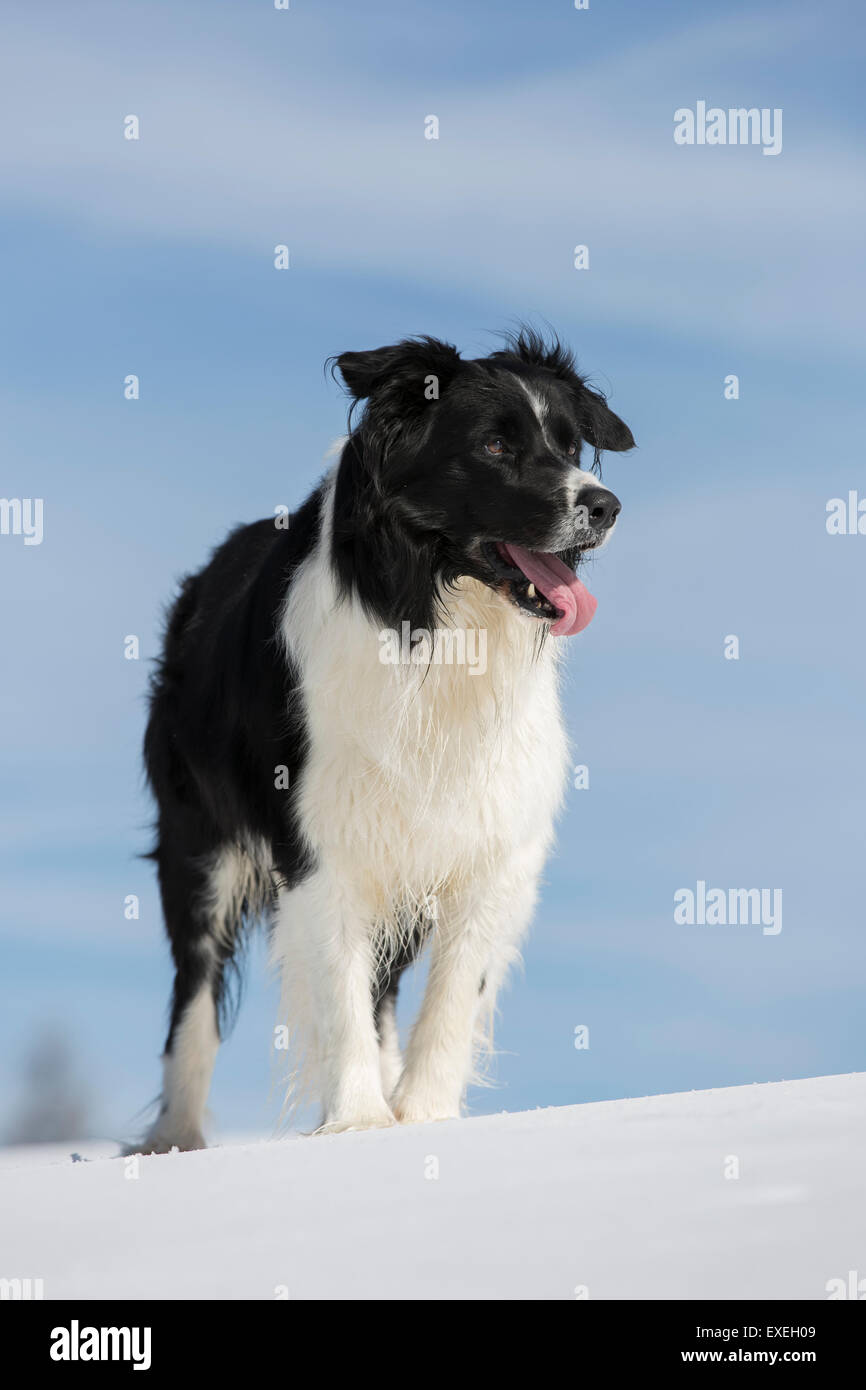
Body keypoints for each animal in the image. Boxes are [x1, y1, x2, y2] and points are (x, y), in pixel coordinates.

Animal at [139, 328, 633, 1150]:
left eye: (569, 445)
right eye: (495, 445)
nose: (606, 505)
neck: (438, 617)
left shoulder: (492, 844)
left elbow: (453, 995)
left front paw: (422, 1118)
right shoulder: (320, 840)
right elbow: (337, 993)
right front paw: (360, 1122)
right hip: (199, 844)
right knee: (195, 993)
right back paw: (172, 1141)